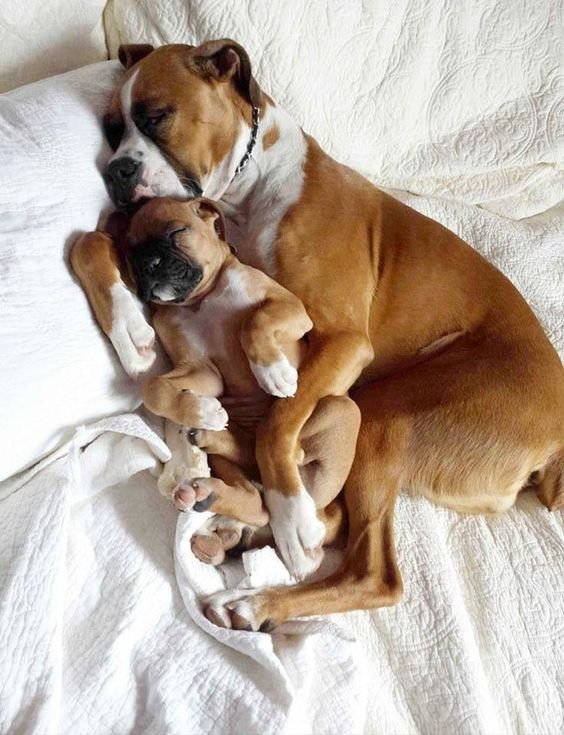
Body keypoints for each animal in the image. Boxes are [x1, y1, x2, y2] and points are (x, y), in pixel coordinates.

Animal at [71, 37, 564, 628]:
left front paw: (290, 513)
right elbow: (88, 244)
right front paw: (130, 329)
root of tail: (555, 440)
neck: (246, 193)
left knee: (367, 565)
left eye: (156, 116)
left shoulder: (342, 341)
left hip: (381, 417)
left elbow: (277, 421)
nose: (117, 170)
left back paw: (254, 593)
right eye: (110, 129)